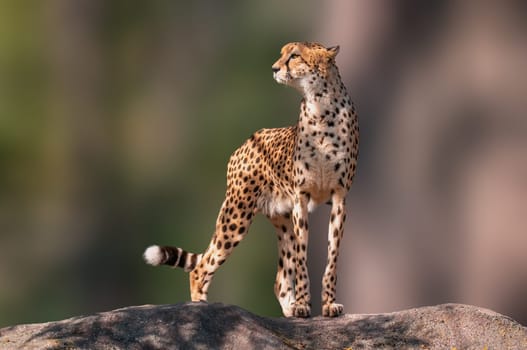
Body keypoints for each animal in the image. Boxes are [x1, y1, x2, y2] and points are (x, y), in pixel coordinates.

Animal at [144, 41, 358, 318]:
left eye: (295, 56)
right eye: (282, 53)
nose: (275, 68)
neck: (320, 108)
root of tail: (246, 142)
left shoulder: (339, 198)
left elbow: (332, 257)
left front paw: (329, 304)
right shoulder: (301, 198)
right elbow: (302, 259)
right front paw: (303, 304)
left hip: (281, 220)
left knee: (279, 280)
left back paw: (287, 309)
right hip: (237, 214)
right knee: (202, 266)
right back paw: (200, 307)